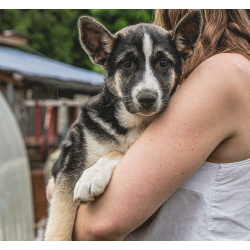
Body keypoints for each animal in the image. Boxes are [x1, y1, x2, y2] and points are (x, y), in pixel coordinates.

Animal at [45, 10, 202, 241]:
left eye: (164, 63)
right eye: (127, 64)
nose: (147, 98)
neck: (130, 124)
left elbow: (118, 152)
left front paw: (91, 176)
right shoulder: (68, 167)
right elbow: (59, 224)